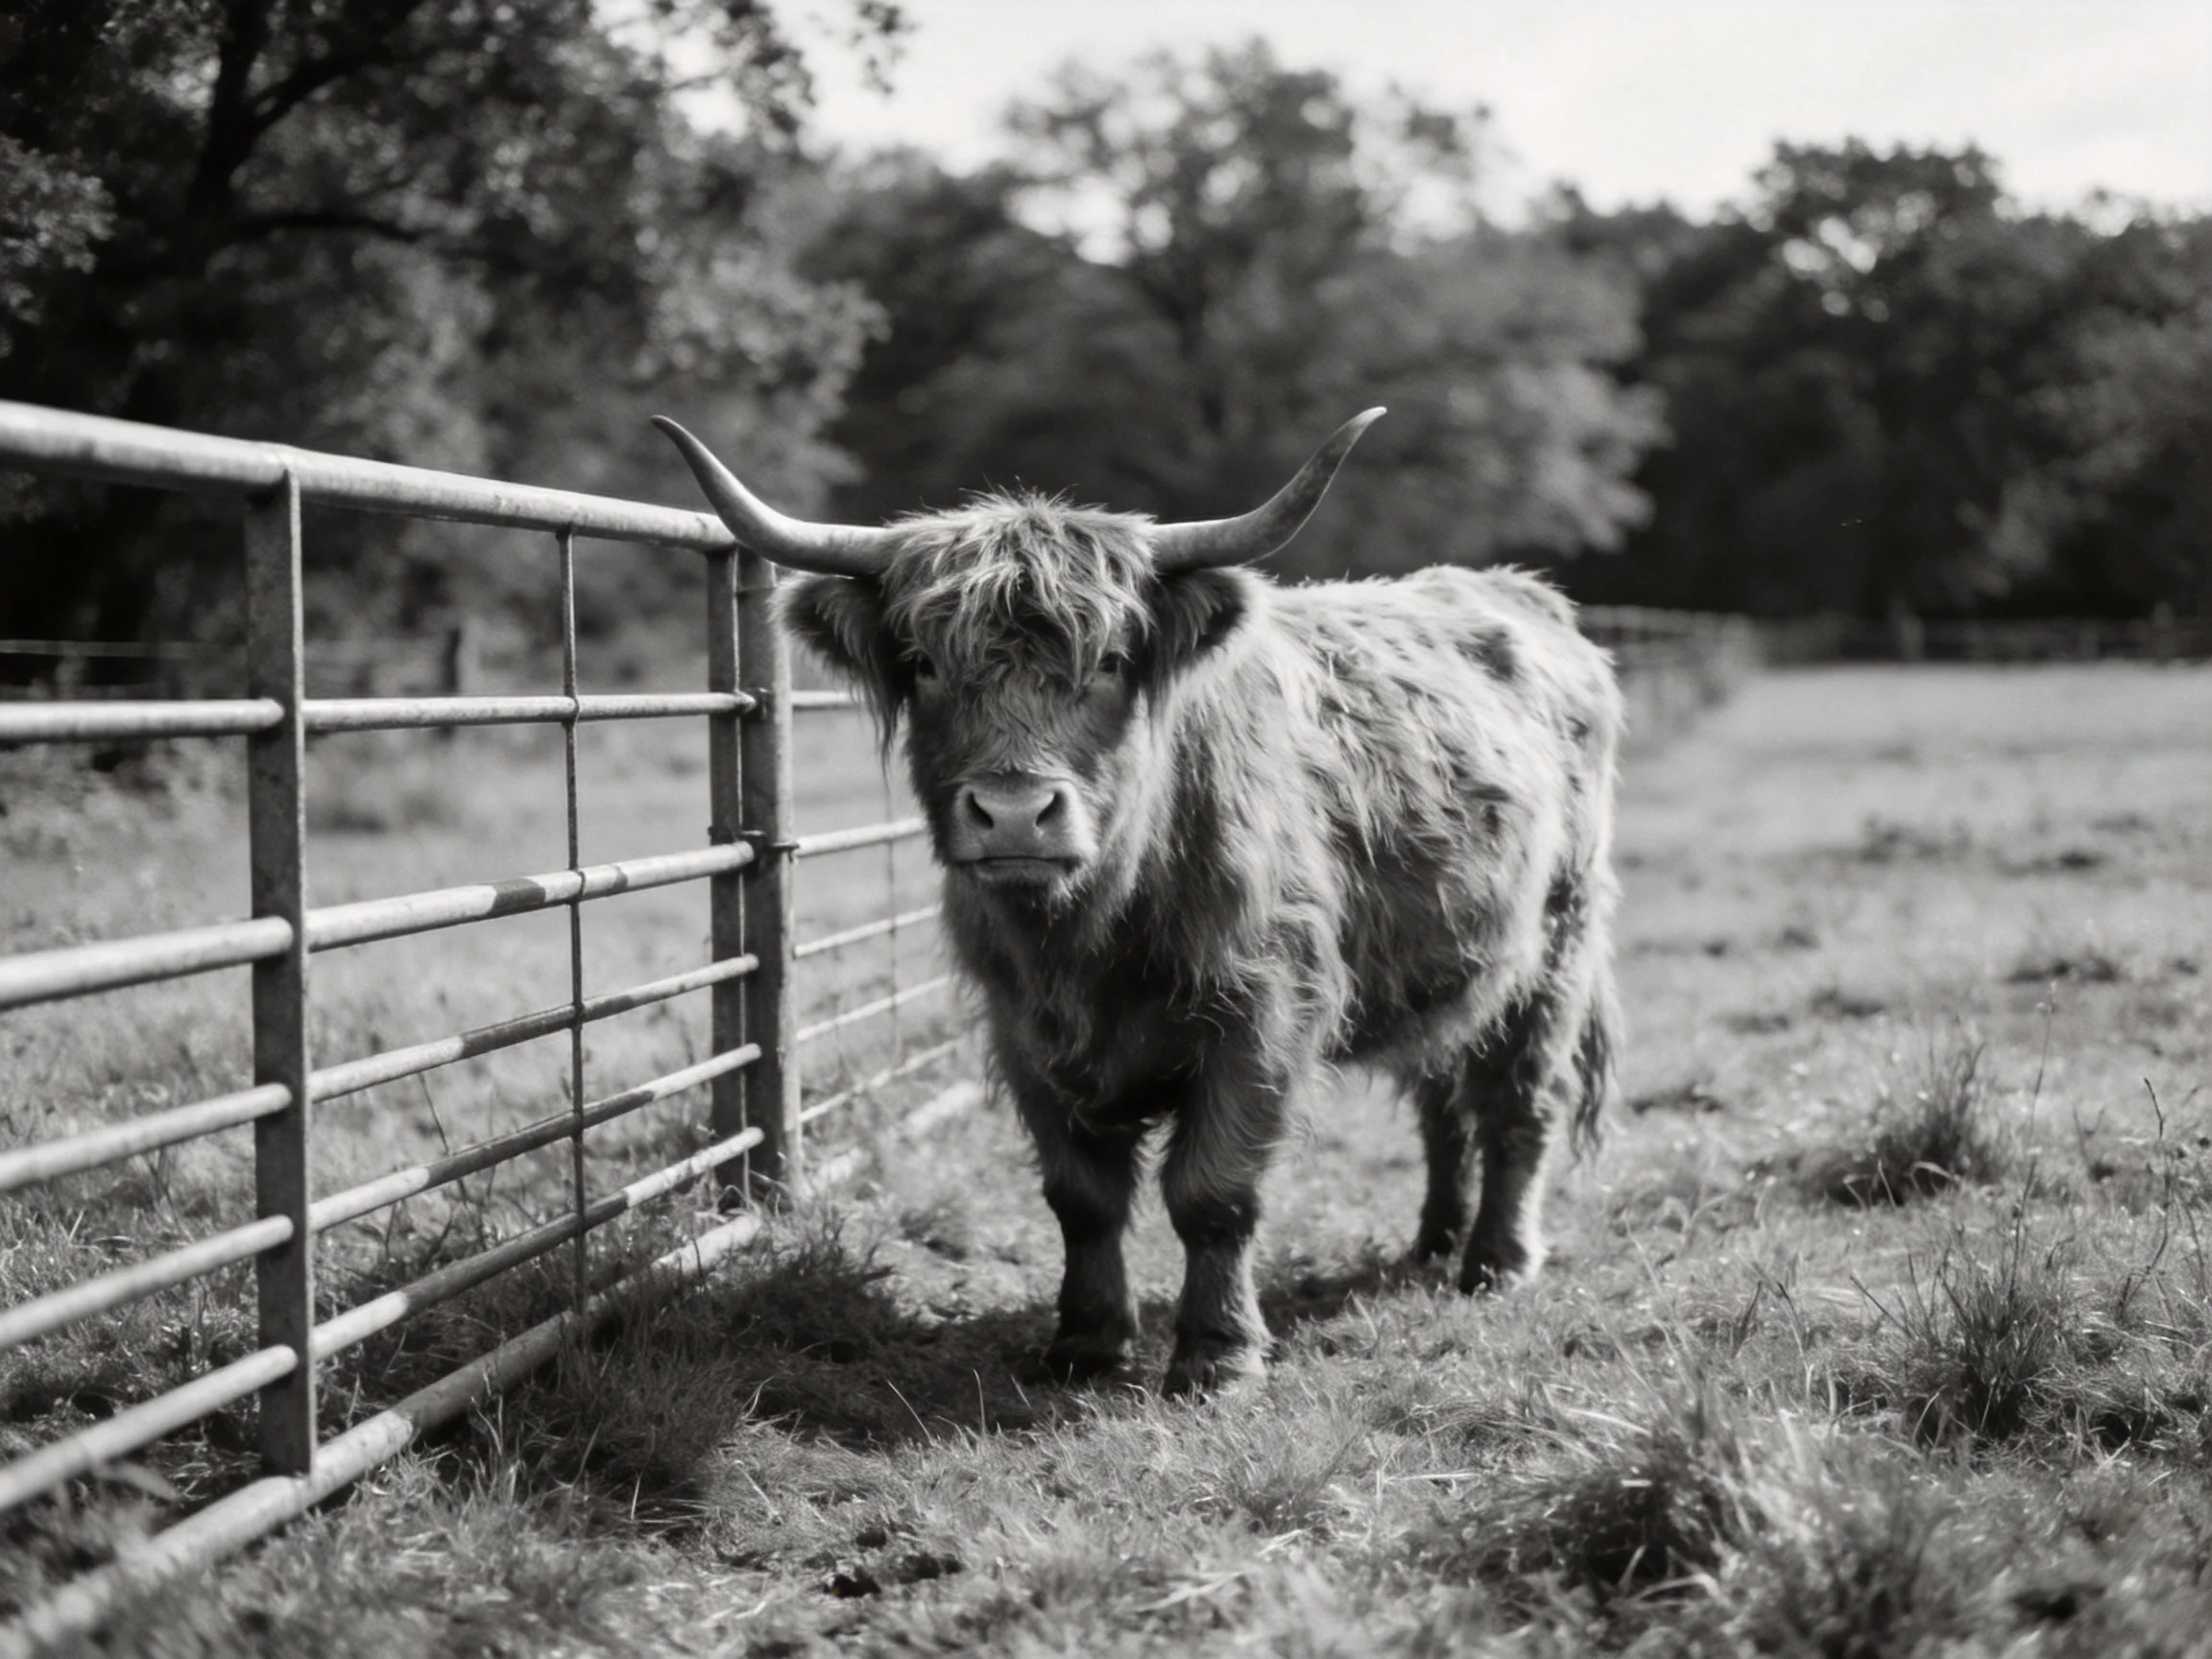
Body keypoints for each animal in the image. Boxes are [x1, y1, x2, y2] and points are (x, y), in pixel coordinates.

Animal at [655, 410, 1623, 1396]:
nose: (1015, 811)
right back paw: (1433, 1242)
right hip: (1454, 964)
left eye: (1113, 660)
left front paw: (1217, 1356)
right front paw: (1085, 1344)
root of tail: (1518, 593)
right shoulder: (1022, 1032)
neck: (1092, 939)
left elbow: (1215, 1195)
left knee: (1518, 1102)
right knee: (1443, 1096)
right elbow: (1081, 1199)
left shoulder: (1261, 1017)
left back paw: (1497, 1261)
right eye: (922, 664)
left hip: (1558, 943)